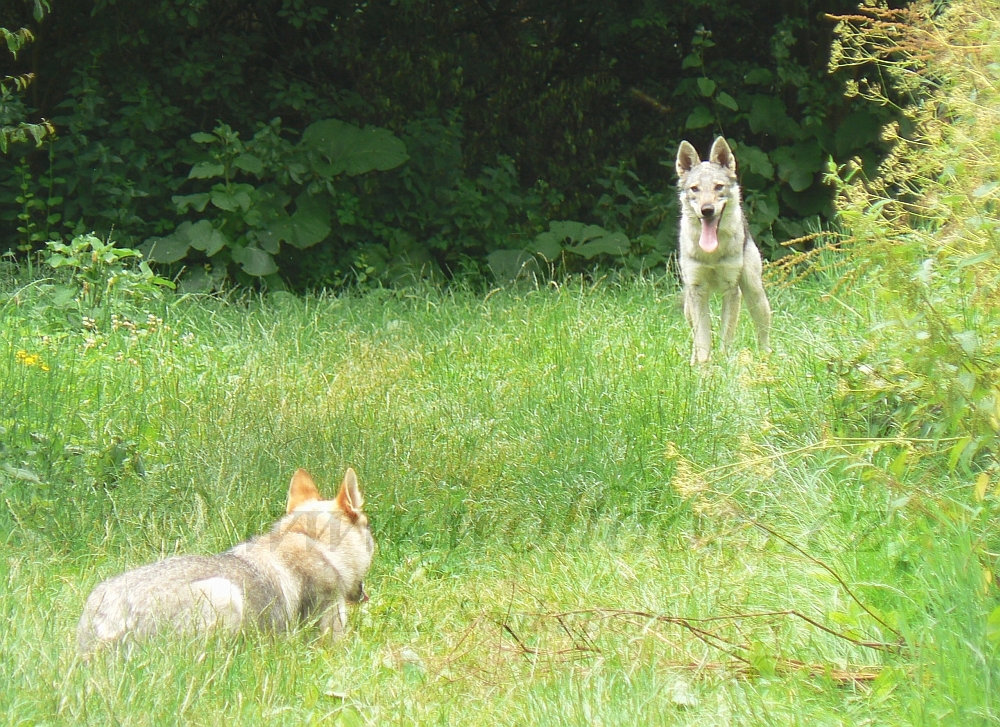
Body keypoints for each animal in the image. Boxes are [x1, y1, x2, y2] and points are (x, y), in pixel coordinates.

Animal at [672, 138, 772, 364]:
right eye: (695, 189)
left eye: (718, 187)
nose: (707, 210)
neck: (712, 255)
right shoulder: (697, 291)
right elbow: (703, 343)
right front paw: (703, 369)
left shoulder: (731, 290)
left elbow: (726, 337)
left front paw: (725, 365)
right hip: (689, 306)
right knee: (695, 337)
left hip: (754, 294)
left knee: (763, 335)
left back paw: (767, 359)